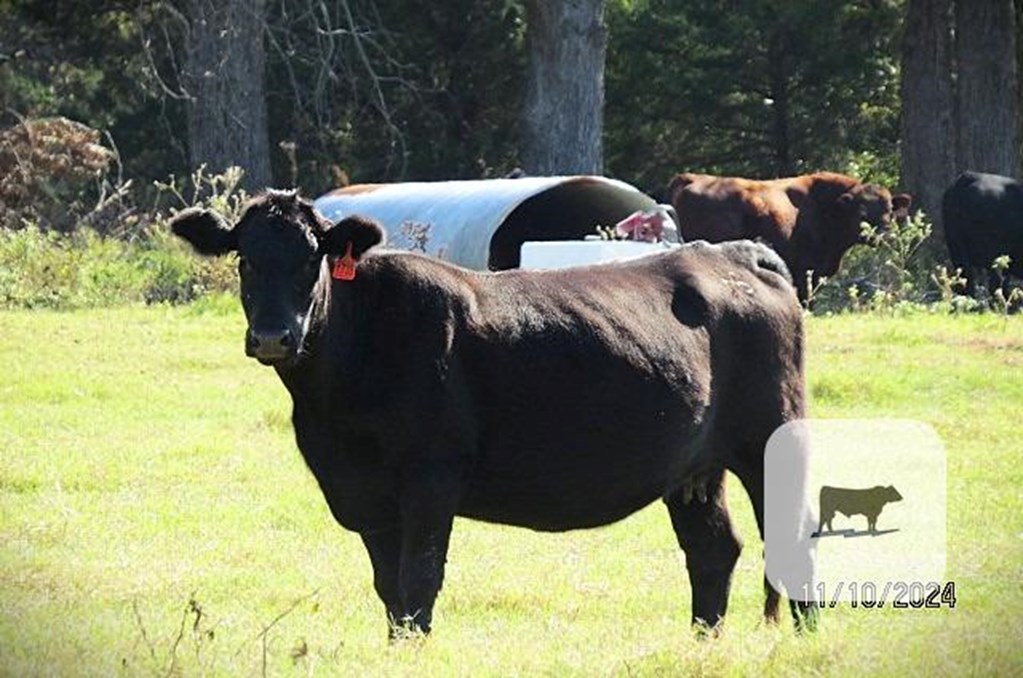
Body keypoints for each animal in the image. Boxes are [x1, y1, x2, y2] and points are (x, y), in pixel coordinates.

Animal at [171, 189, 818, 638]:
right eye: (245, 260)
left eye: (312, 260)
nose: (274, 336)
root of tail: (735, 254)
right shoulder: (362, 492)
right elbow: (388, 589)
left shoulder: (432, 475)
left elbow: (418, 580)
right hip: (692, 468)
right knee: (712, 550)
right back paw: (702, 642)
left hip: (772, 437)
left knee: (792, 535)